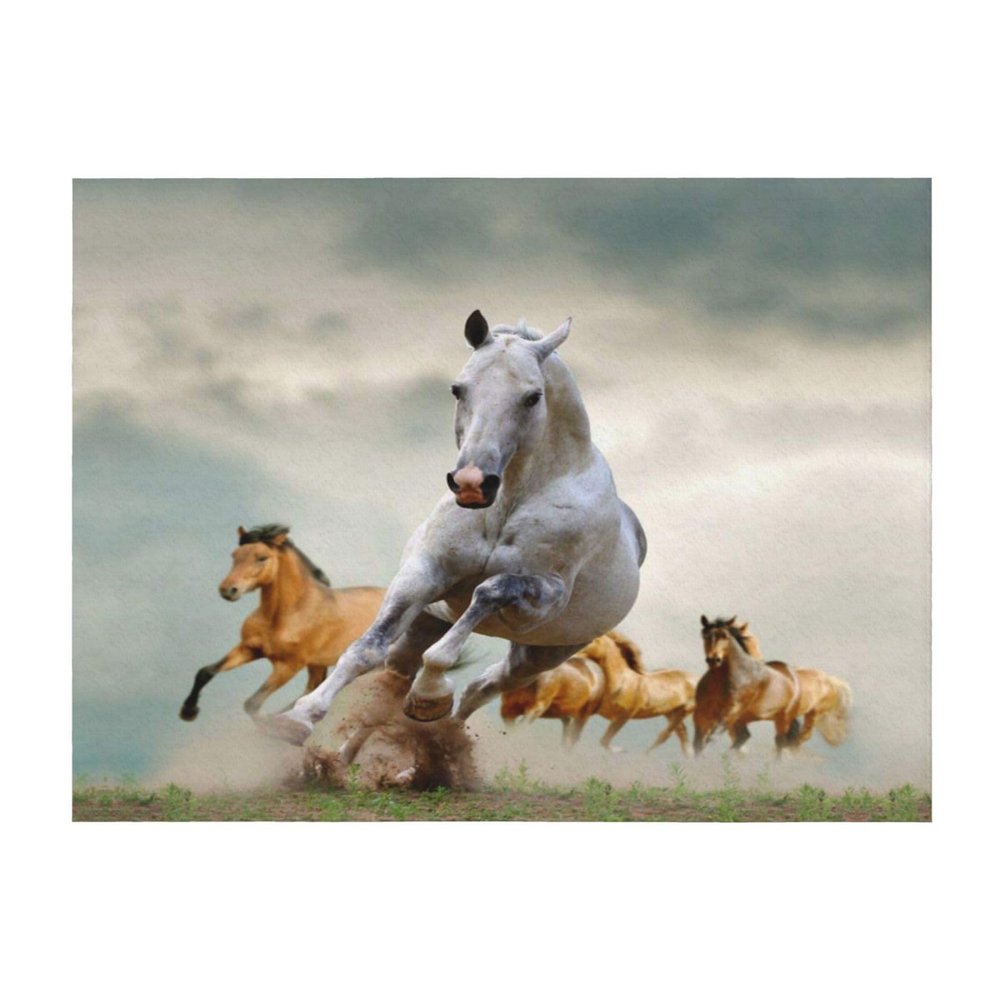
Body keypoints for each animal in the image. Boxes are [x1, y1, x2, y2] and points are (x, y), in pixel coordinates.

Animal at [179, 524, 384, 721]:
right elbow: (205, 672)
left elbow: (252, 704)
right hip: (317, 664)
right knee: (313, 689)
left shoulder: (288, 666)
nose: (228, 590)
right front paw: (188, 711)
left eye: (262, 557)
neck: (285, 615)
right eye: (235, 555)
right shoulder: (249, 649)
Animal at [261, 310, 646, 746]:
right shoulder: (424, 574)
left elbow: (484, 597)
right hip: (427, 623)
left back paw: (438, 729)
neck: (508, 503)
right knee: (392, 682)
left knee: (482, 688)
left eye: (533, 396)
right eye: (458, 389)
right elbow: (366, 650)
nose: (473, 483)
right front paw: (298, 718)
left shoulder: (541, 599)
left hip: (538, 655)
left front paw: (430, 694)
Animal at [694, 616, 801, 756]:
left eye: (725, 636)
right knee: (743, 737)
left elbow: (712, 737)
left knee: (779, 742)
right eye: (705, 635)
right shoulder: (701, 713)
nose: (713, 659)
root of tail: (791, 674)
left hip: (783, 718)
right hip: (744, 720)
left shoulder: (730, 712)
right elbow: (699, 743)